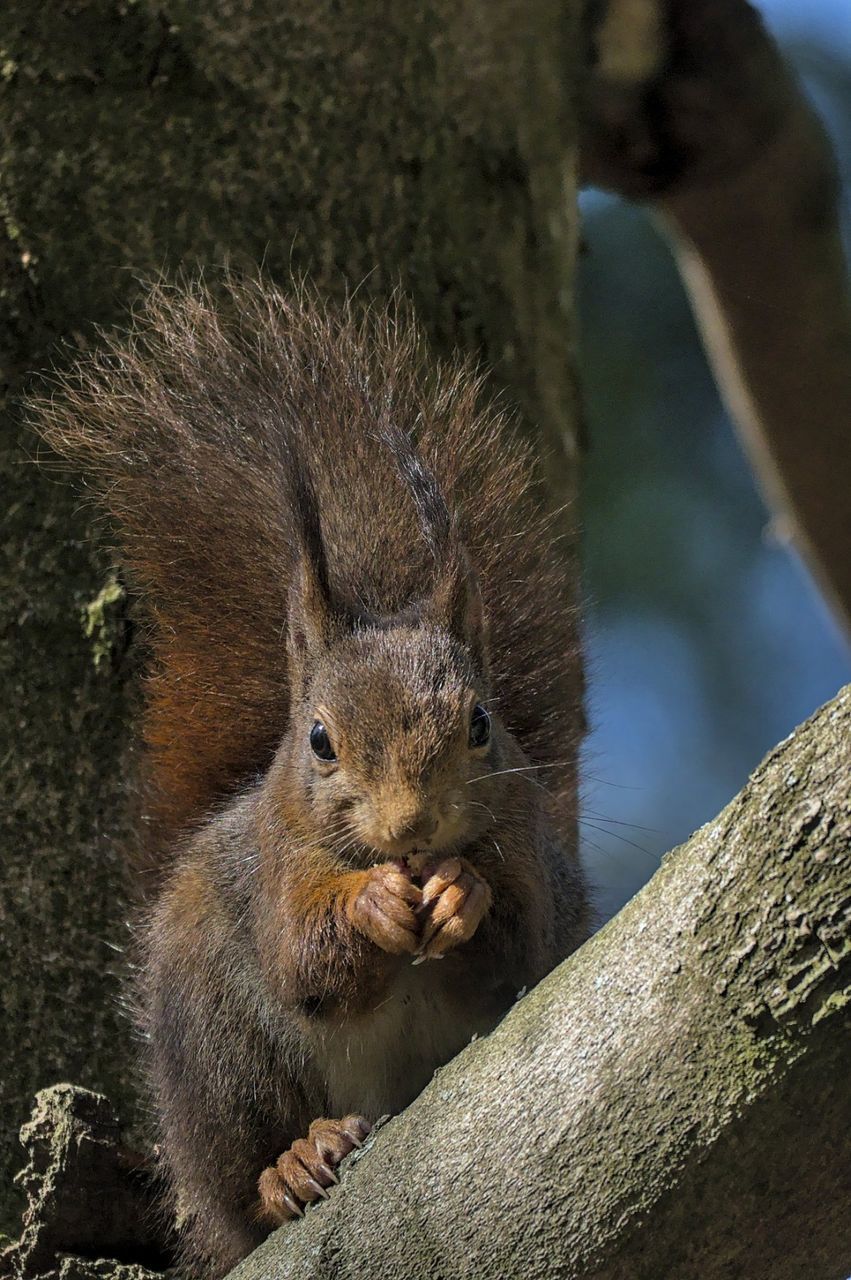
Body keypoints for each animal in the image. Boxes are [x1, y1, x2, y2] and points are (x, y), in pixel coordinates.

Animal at [34, 275, 591, 1274]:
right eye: (320, 740)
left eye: (481, 723)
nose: (410, 829)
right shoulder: (275, 866)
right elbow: (304, 956)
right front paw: (373, 904)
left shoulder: (529, 854)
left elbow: (516, 953)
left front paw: (460, 893)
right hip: (218, 1054)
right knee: (238, 1192)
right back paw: (292, 1164)